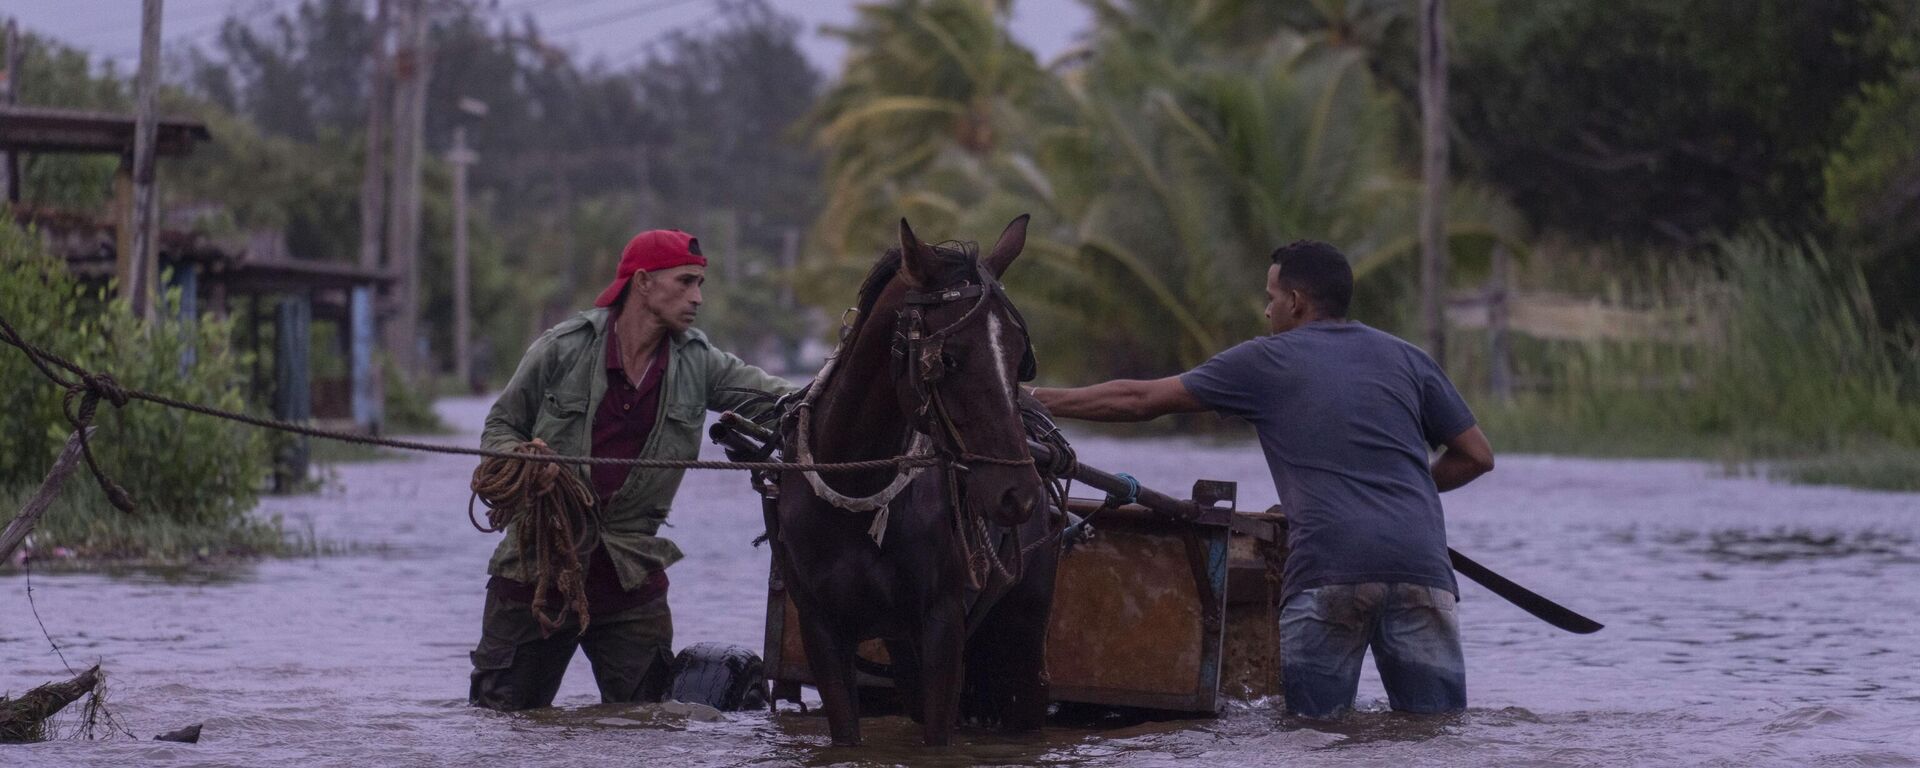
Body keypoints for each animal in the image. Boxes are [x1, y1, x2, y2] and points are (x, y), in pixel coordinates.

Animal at [768, 214, 1067, 744]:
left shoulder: (942, 623)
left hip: (1026, 625)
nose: (1019, 495)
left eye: (1019, 357)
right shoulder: (822, 628)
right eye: (948, 359)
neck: (859, 487)